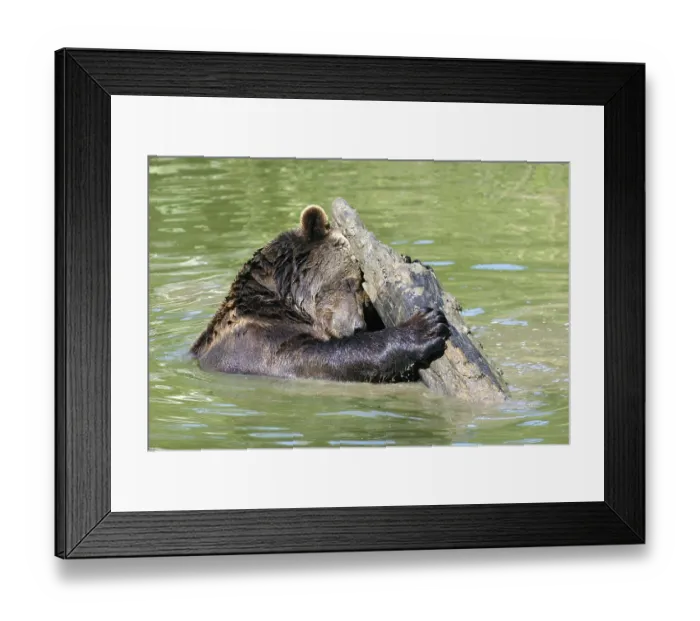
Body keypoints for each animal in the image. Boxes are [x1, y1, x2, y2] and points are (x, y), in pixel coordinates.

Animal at [190, 205, 450, 383]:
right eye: (352, 283)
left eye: (364, 292)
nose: (357, 327)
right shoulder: (260, 344)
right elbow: (323, 358)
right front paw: (425, 327)